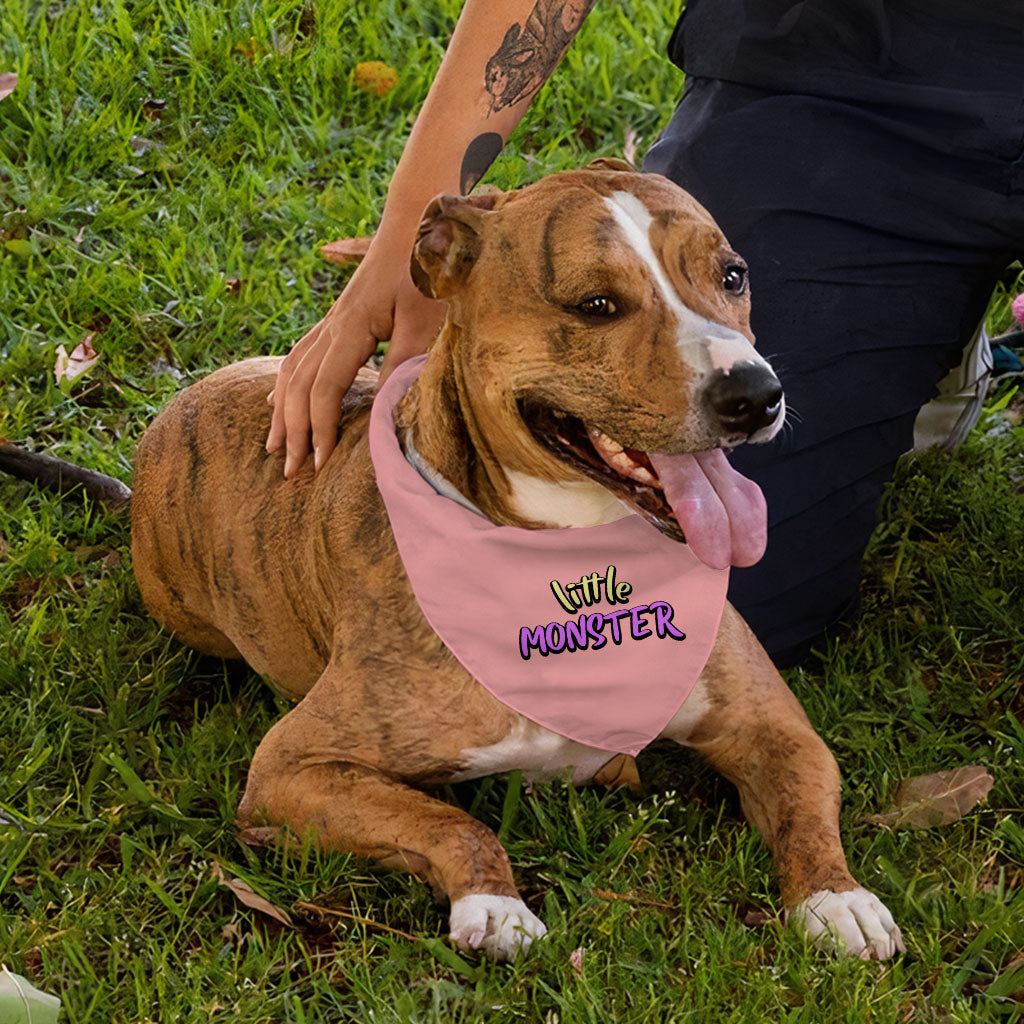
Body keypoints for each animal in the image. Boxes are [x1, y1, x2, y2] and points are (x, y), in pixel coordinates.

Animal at [123, 165, 901, 958]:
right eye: (596, 305)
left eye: (733, 276)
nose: (756, 394)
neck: (579, 567)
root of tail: (183, 400)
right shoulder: (292, 766)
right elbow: (450, 820)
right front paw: (493, 903)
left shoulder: (774, 728)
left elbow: (806, 808)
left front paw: (838, 898)